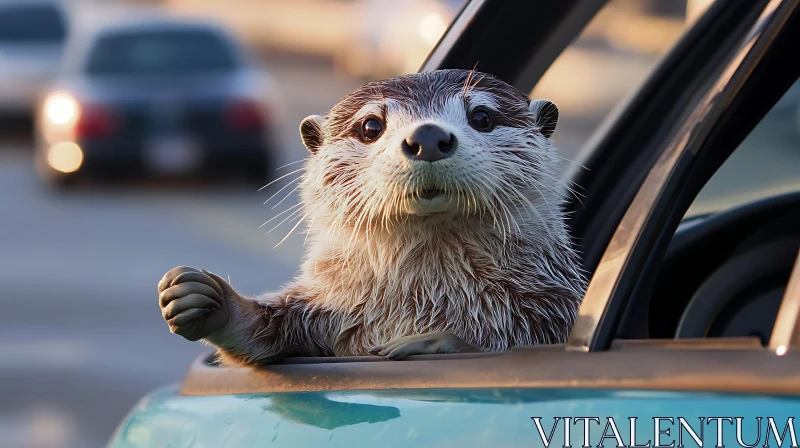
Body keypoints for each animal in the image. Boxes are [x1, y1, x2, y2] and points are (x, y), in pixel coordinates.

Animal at [156, 68, 584, 366]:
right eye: (370, 126)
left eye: (482, 116)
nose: (428, 136)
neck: (428, 297)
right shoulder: (329, 307)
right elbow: (269, 334)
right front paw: (206, 300)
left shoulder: (554, 304)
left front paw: (438, 341)